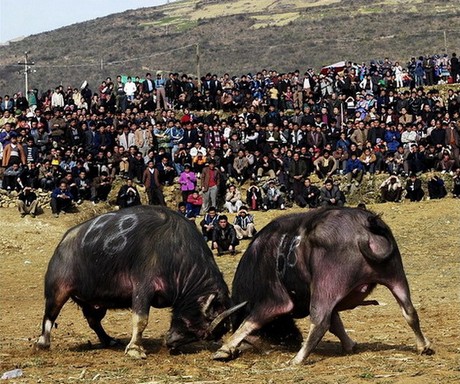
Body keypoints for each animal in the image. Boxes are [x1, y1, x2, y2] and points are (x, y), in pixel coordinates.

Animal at [36, 206, 241, 358]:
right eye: (196, 326)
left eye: (203, 335)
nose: (171, 342)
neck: (177, 253)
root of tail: (63, 243)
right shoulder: (143, 287)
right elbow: (141, 319)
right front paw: (135, 349)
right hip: (58, 290)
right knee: (50, 315)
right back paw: (43, 342)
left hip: (95, 301)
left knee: (94, 321)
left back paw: (109, 340)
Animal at [214, 207, 434, 364]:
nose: (291, 338)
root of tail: (363, 228)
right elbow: (337, 323)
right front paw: (350, 345)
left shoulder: (273, 301)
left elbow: (249, 322)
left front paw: (224, 349)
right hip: (396, 276)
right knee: (409, 311)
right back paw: (423, 346)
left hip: (324, 287)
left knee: (319, 322)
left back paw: (297, 359)